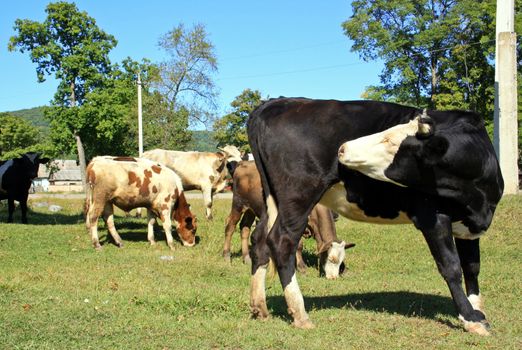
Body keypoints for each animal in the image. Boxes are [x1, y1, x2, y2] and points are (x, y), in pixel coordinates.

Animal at [221, 161, 352, 278]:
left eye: (341, 259)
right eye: (331, 259)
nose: (333, 278)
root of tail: (243, 163)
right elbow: (299, 245)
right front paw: (301, 267)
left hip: (251, 209)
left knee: (245, 228)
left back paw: (247, 258)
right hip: (238, 204)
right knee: (230, 226)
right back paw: (227, 256)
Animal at [246, 98, 502, 336]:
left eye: (389, 140)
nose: (343, 148)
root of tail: (278, 102)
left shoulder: (470, 228)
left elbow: (472, 267)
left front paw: (478, 311)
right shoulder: (433, 217)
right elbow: (451, 267)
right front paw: (470, 318)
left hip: (272, 199)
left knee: (260, 240)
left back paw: (260, 307)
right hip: (298, 196)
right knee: (281, 241)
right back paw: (300, 314)